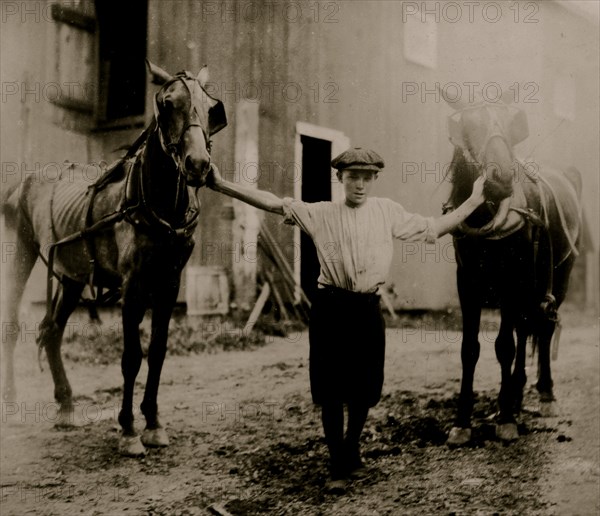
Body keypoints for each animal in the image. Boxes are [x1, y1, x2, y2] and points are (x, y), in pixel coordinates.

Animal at [1, 61, 226, 456]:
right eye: (168, 104)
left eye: (210, 107)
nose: (198, 164)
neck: (157, 207)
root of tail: (24, 181)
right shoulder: (133, 286)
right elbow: (132, 357)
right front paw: (128, 429)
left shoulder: (169, 283)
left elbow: (157, 352)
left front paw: (153, 423)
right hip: (22, 248)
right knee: (13, 324)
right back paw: (12, 403)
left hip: (72, 277)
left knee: (52, 331)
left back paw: (66, 405)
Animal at [440, 90, 580, 446]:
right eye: (469, 126)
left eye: (510, 124)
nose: (501, 177)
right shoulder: (467, 283)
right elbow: (470, 349)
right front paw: (463, 421)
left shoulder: (511, 283)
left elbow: (505, 346)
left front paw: (504, 419)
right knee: (525, 328)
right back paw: (515, 395)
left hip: (559, 277)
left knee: (543, 329)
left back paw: (544, 394)